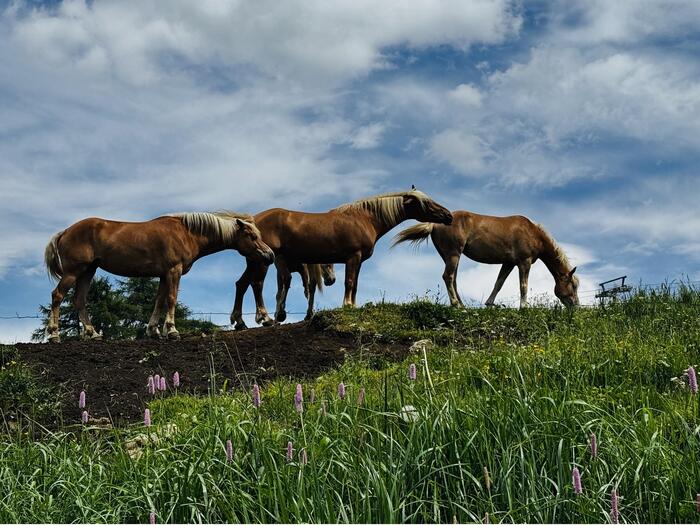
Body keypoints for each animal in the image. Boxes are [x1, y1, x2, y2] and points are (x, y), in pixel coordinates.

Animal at [44, 212, 274, 342]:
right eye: (252, 236)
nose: (269, 255)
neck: (187, 232)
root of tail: (65, 232)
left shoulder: (164, 275)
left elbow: (159, 300)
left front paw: (153, 330)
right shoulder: (174, 270)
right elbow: (171, 299)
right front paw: (171, 331)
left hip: (88, 271)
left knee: (79, 300)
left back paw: (93, 333)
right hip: (74, 271)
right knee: (57, 295)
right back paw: (54, 335)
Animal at [230, 189, 453, 330]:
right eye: (426, 203)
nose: (448, 215)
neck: (365, 218)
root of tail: (251, 221)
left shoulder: (359, 261)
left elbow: (355, 285)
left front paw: (352, 305)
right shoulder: (353, 257)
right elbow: (349, 282)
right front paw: (346, 305)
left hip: (255, 261)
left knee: (241, 284)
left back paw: (240, 322)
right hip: (263, 261)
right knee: (256, 284)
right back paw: (266, 318)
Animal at [392, 211, 579, 308]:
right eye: (574, 285)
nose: (576, 306)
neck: (532, 232)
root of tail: (434, 223)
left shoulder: (508, 263)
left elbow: (499, 283)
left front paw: (489, 303)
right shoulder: (523, 262)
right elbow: (523, 286)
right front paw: (523, 307)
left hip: (451, 257)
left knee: (453, 280)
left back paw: (462, 305)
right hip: (453, 255)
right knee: (448, 277)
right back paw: (456, 305)